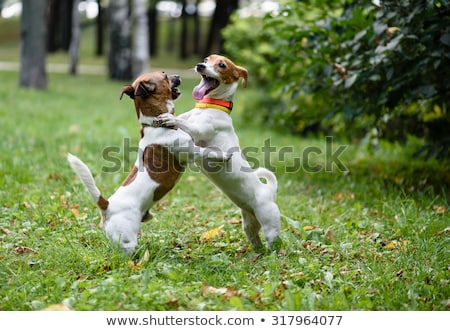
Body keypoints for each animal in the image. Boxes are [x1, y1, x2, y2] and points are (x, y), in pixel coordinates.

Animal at [68, 72, 230, 254]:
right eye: (165, 76)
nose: (177, 75)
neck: (156, 124)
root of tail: (107, 207)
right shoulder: (192, 151)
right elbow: (209, 152)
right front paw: (225, 155)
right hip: (127, 241)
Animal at [158, 55, 282, 252]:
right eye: (206, 59)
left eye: (222, 65)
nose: (200, 66)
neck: (208, 107)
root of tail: (268, 190)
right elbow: (183, 120)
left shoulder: (199, 131)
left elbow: (185, 124)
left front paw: (170, 118)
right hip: (249, 224)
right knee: (255, 240)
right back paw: (256, 253)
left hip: (270, 224)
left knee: (274, 243)